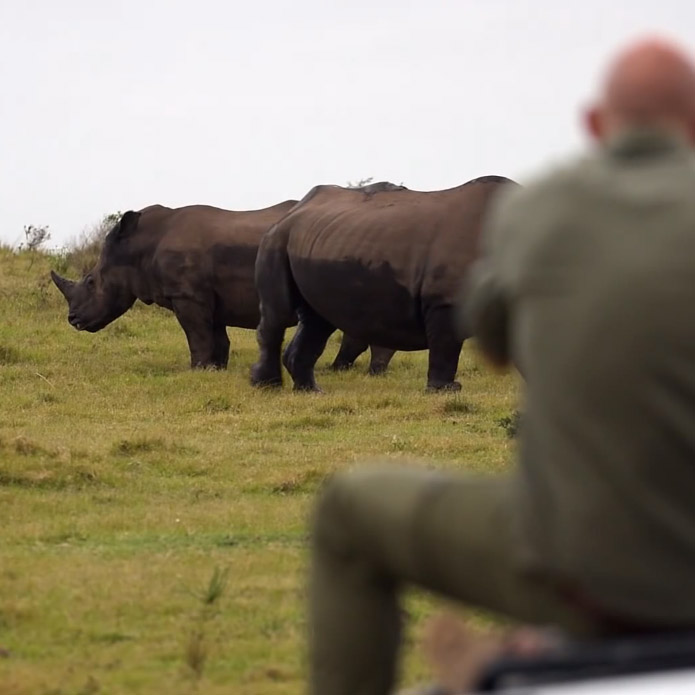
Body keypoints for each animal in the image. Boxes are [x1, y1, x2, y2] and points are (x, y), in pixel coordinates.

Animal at [51, 203, 395, 372]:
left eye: (92, 282)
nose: (73, 320)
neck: (139, 246)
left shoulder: (187, 295)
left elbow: (197, 336)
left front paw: (197, 370)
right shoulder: (206, 296)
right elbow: (216, 336)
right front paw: (216, 368)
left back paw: (369, 372)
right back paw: (340, 370)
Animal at [251, 176, 516, 392]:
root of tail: (292, 212)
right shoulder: (445, 300)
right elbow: (446, 344)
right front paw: (445, 390)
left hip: (319, 239)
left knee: (317, 319)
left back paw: (310, 391)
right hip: (276, 239)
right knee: (280, 315)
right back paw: (267, 386)